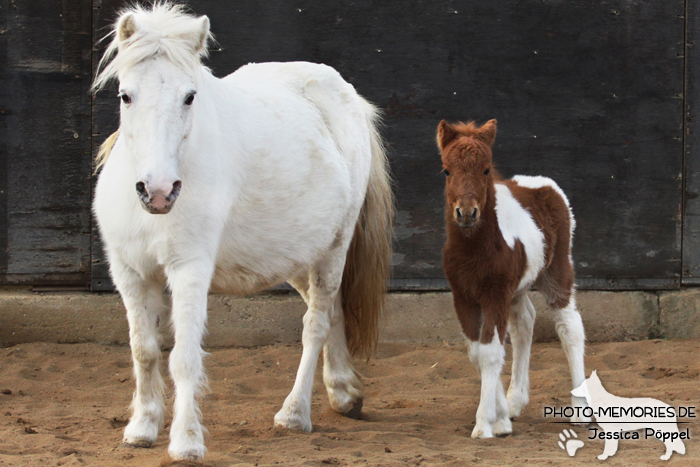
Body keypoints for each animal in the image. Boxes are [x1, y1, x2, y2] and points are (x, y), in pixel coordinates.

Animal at [90, 3, 392, 464]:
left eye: (190, 96)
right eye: (126, 95)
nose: (158, 191)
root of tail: (346, 95)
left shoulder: (189, 269)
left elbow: (183, 357)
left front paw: (186, 441)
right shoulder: (129, 273)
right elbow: (144, 351)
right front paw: (141, 428)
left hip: (334, 250)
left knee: (315, 324)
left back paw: (294, 414)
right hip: (299, 258)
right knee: (332, 312)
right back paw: (344, 394)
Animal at [440, 119, 588, 438]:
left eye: (486, 169)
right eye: (446, 170)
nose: (467, 213)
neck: (475, 248)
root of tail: (545, 184)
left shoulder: (495, 295)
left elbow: (490, 352)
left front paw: (485, 424)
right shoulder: (463, 297)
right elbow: (478, 352)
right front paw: (502, 417)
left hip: (557, 271)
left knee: (570, 326)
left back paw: (580, 410)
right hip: (517, 288)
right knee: (525, 323)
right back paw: (515, 401)